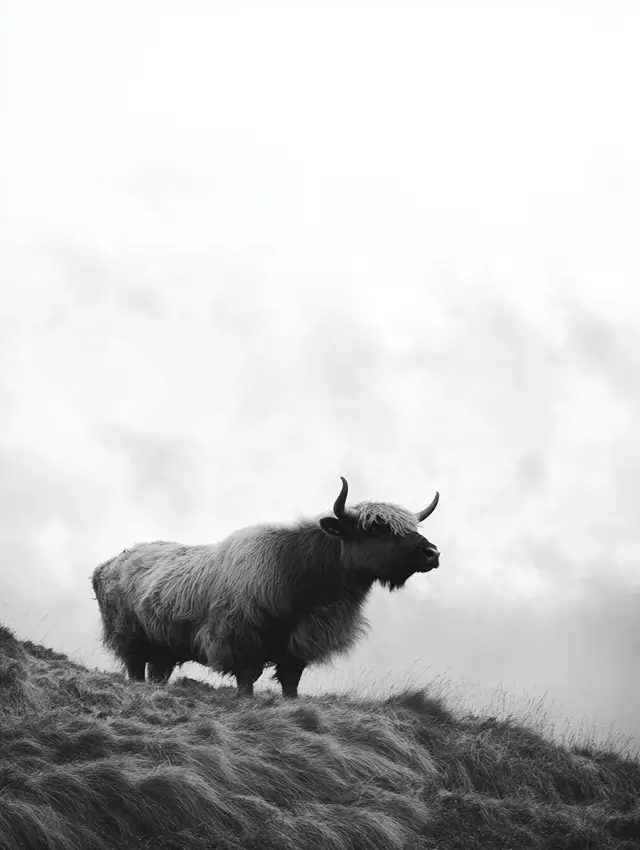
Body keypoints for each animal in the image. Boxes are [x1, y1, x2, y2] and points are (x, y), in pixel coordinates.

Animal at [91, 476, 440, 696]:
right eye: (375, 527)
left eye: (412, 526)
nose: (431, 553)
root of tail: (107, 565)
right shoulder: (241, 640)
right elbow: (248, 680)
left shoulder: (298, 645)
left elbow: (291, 682)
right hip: (131, 640)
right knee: (136, 670)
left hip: (163, 649)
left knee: (157, 675)